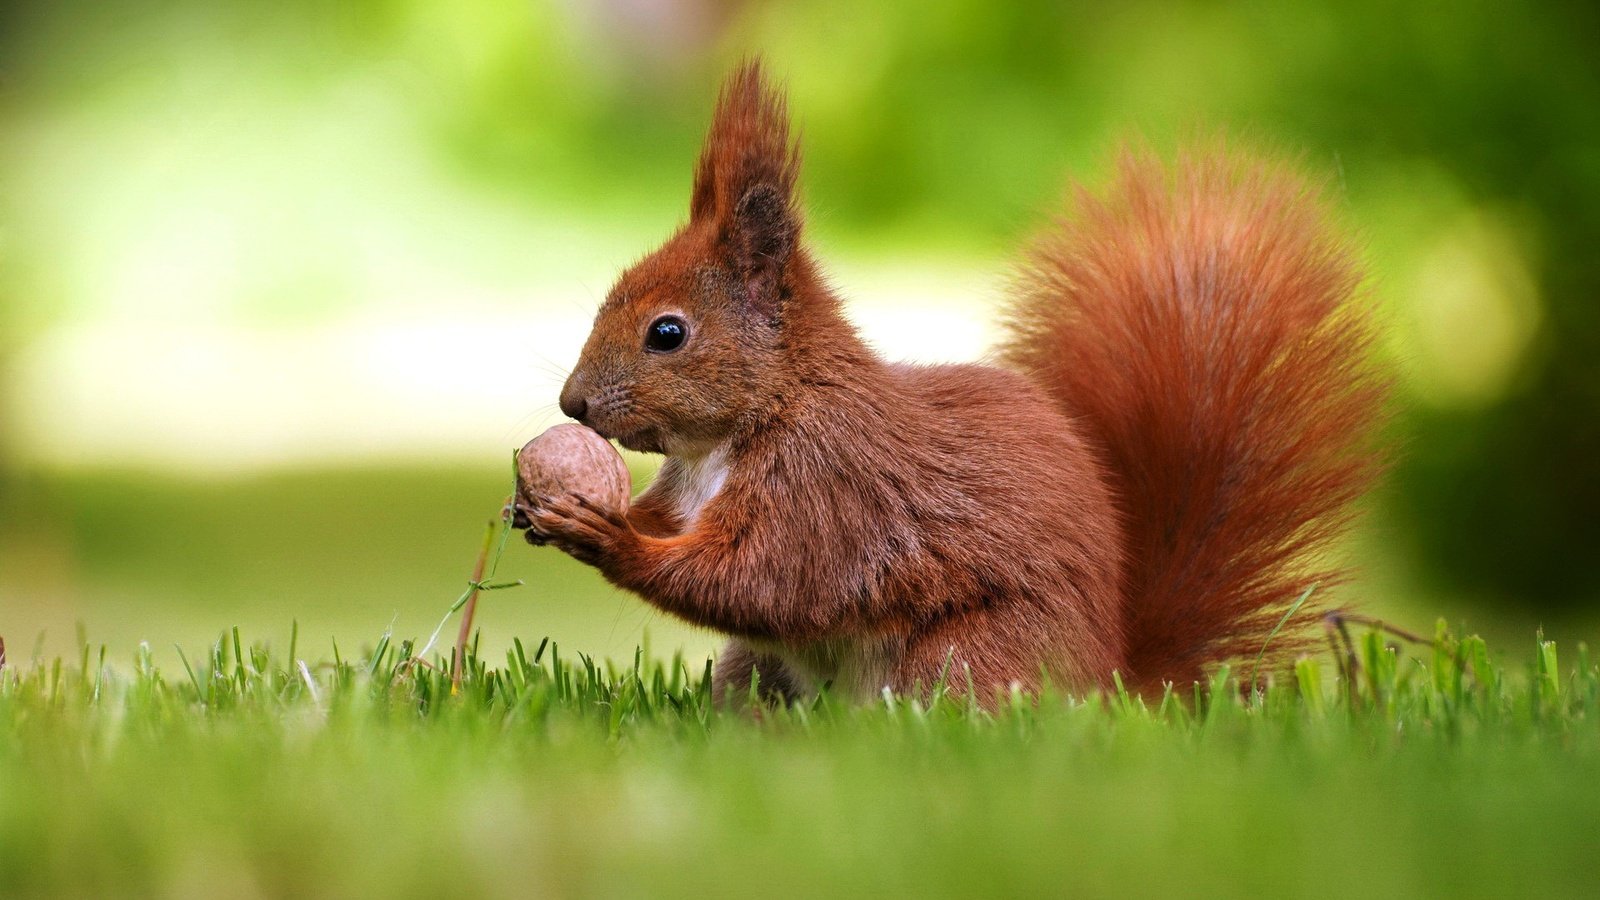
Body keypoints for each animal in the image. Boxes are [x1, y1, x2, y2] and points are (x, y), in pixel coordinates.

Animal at [521, 61, 1388, 701]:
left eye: (667, 333)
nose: (573, 404)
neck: (743, 427)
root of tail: (1110, 682)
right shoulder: (694, 489)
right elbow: (681, 532)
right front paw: (548, 511)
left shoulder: (830, 488)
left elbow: (760, 581)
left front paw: (609, 539)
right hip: (756, 669)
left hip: (964, 657)